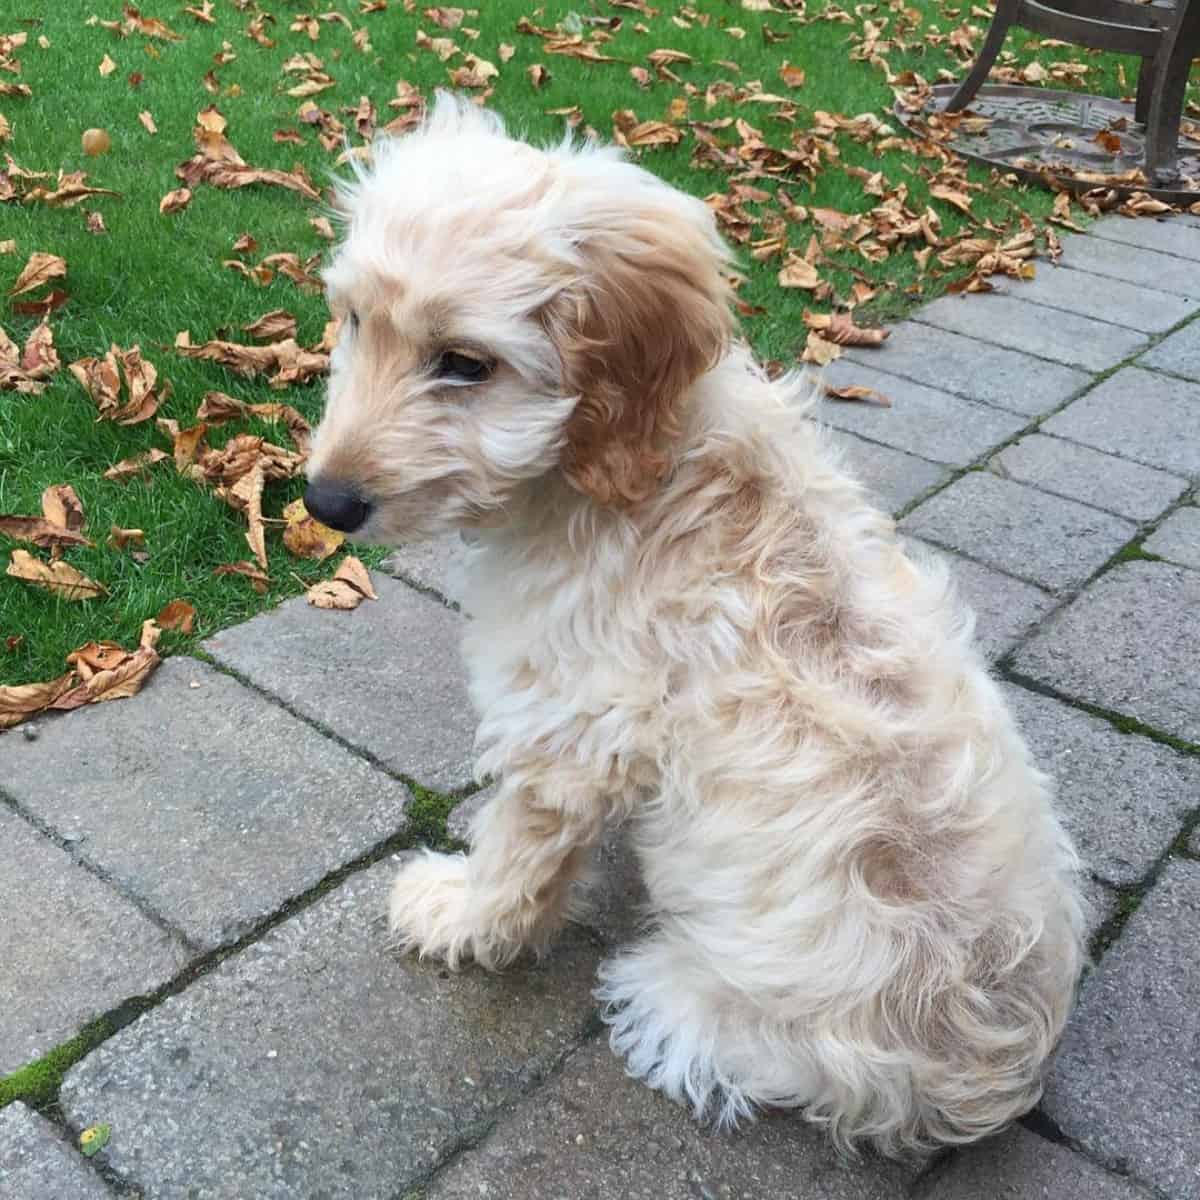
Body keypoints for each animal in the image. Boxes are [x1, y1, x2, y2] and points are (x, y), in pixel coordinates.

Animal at [302, 96, 1089, 1161]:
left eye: (465, 364)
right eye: (353, 318)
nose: (324, 502)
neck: (640, 468)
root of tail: (991, 1079)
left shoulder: (567, 728)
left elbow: (517, 850)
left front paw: (462, 916)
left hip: (690, 997)